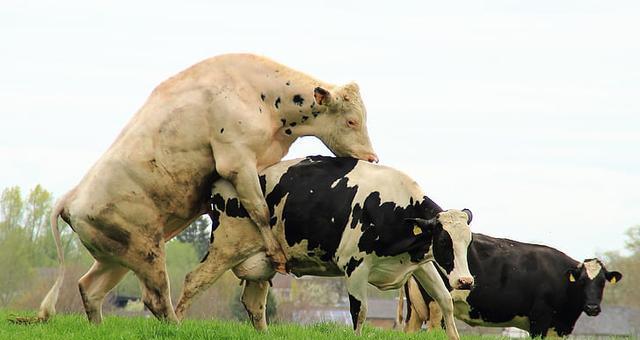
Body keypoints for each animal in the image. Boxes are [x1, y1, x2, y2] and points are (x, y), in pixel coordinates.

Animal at [37, 54, 378, 326]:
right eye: (351, 120)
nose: (372, 158)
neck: (260, 96)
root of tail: (70, 198)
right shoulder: (236, 161)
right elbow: (259, 208)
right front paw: (277, 254)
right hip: (146, 249)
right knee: (155, 299)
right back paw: (176, 327)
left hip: (115, 257)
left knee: (89, 288)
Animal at [175, 157, 476, 340]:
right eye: (444, 241)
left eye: (468, 242)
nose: (465, 281)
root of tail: (220, 183)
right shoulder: (354, 265)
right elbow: (359, 312)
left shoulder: (419, 263)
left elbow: (445, 301)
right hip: (226, 247)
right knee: (192, 281)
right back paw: (172, 322)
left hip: (263, 262)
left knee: (254, 304)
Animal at [398, 234, 624, 338]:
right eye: (582, 281)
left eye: (602, 282)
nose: (593, 307)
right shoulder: (540, 319)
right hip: (437, 305)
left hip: (416, 309)